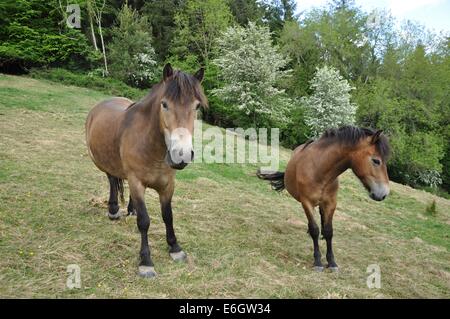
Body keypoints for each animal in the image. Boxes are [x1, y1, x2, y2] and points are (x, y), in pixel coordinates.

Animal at [85, 63, 207, 278]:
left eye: (197, 106)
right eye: (164, 104)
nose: (181, 155)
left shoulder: (167, 186)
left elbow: (168, 215)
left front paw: (175, 248)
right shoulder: (137, 182)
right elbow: (144, 221)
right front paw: (146, 261)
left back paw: (130, 208)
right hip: (103, 162)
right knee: (111, 179)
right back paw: (113, 210)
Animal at [256, 126, 390, 272]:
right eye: (376, 161)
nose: (384, 193)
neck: (320, 170)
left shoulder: (330, 204)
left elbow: (329, 231)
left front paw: (332, 262)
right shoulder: (307, 203)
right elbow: (315, 229)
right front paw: (318, 261)